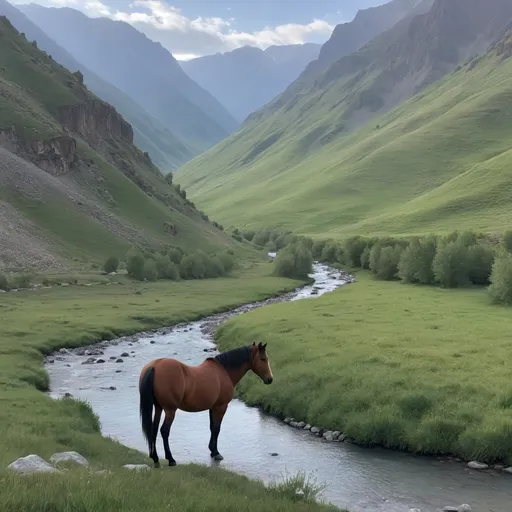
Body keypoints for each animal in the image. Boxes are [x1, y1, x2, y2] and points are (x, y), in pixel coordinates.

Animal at [136, 342, 272, 466]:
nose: (270, 379)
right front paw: (216, 453)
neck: (224, 372)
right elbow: (217, 428)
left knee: (153, 430)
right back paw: (171, 459)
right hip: (170, 410)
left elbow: (212, 427)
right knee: (164, 431)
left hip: (158, 408)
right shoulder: (221, 406)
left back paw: (155, 457)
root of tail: (154, 366)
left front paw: (212, 450)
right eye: (263, 359)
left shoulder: (213, 407)